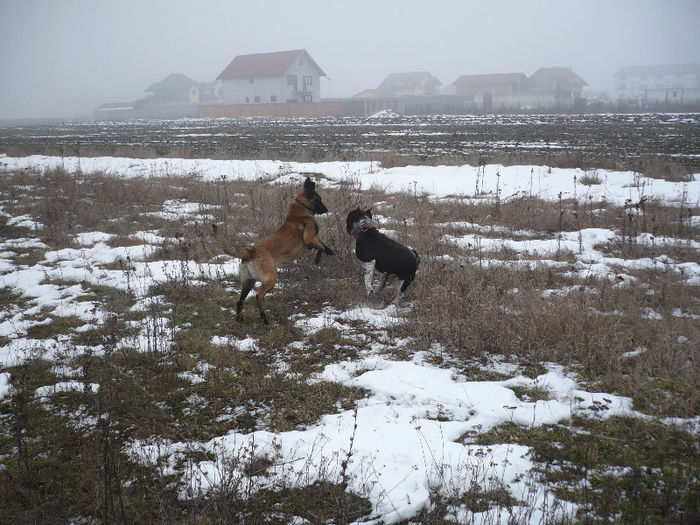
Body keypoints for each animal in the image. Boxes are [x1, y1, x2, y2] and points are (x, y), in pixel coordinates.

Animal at [212, 178, 332, 322]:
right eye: (319, 199)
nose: (326, 209)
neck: (300, 211)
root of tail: (250, 251)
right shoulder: (310, 239)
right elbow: (322, 246)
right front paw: (326, 254)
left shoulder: (311, 242)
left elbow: (321, 244)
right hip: (271, 279)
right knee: (258, 295)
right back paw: (264, 317)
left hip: (248, 282)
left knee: (239, 301)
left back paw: (240, 318)